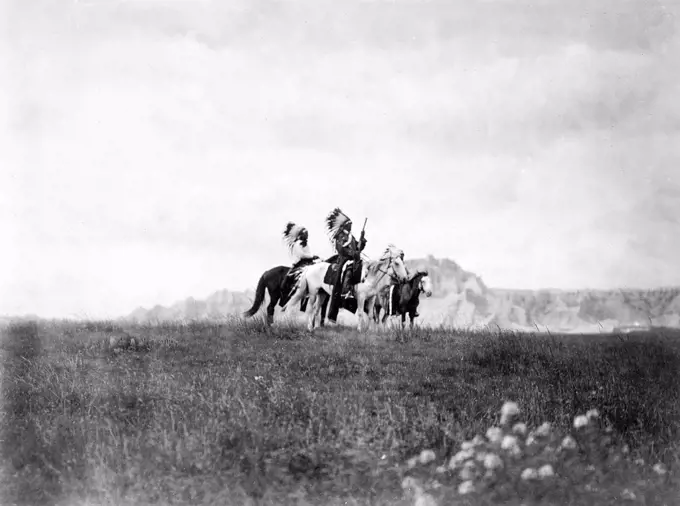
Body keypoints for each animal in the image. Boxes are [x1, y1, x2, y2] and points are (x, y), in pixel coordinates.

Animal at [282, 244, 410, 332]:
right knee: (310, 308)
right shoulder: (361, 297)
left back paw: (316, 327)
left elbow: (370, 315)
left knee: (316, 309)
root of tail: (310, 268)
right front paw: (360, 329)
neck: (369, 276)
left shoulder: (371, 298)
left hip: (322, 293)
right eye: (397, 263)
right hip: (313, 292)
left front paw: (369, 330)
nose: (405, 279)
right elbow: (360, 313)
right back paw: (309, 328)